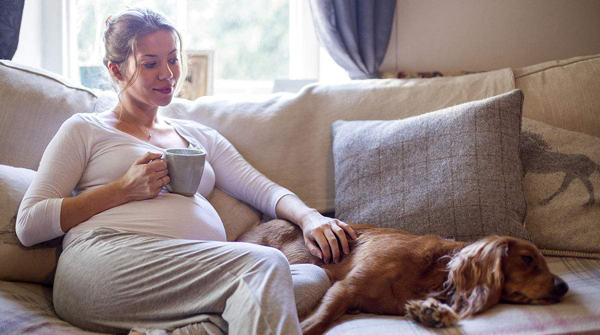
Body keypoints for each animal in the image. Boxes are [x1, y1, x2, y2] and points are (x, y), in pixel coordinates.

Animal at [237, 220, 568, 335]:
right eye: (527, 259)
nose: (564, 286)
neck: (433, 270)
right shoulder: (345, 288)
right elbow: (318, 320)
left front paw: (431, 313)